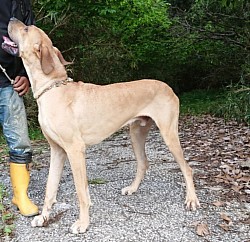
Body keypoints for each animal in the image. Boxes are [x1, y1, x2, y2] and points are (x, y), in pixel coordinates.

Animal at [6, 18, 200, 233]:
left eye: (26, 29)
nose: (11, 19)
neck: (53, 88)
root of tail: (168, 87)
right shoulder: (57, 151)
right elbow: (50, 188)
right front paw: (43, 217)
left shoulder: (75, 150)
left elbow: (80, 192)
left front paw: (82, 223)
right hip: (136, 134)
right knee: (143, 163)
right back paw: (132, 188)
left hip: (169, 135)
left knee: (187, 168)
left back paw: (191, 199)